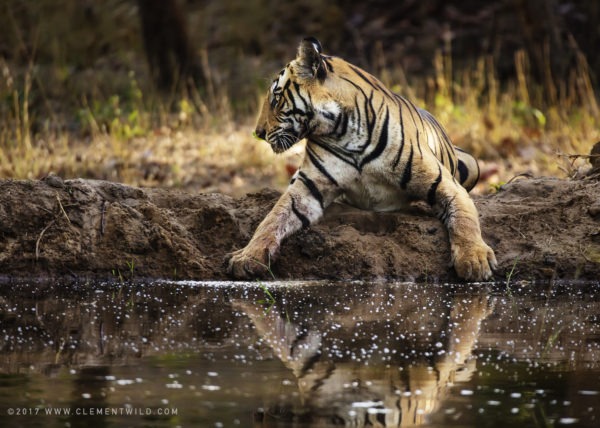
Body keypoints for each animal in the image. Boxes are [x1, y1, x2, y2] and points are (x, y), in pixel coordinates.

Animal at [226, 37, 496, 280]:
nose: (258, 132)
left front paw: (475, 260)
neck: (344, 131)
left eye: (275, 99)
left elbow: (464, 219)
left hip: (473, 164)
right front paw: (247, 256)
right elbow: (273, 218)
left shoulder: (446, 184)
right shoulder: (307, 187)